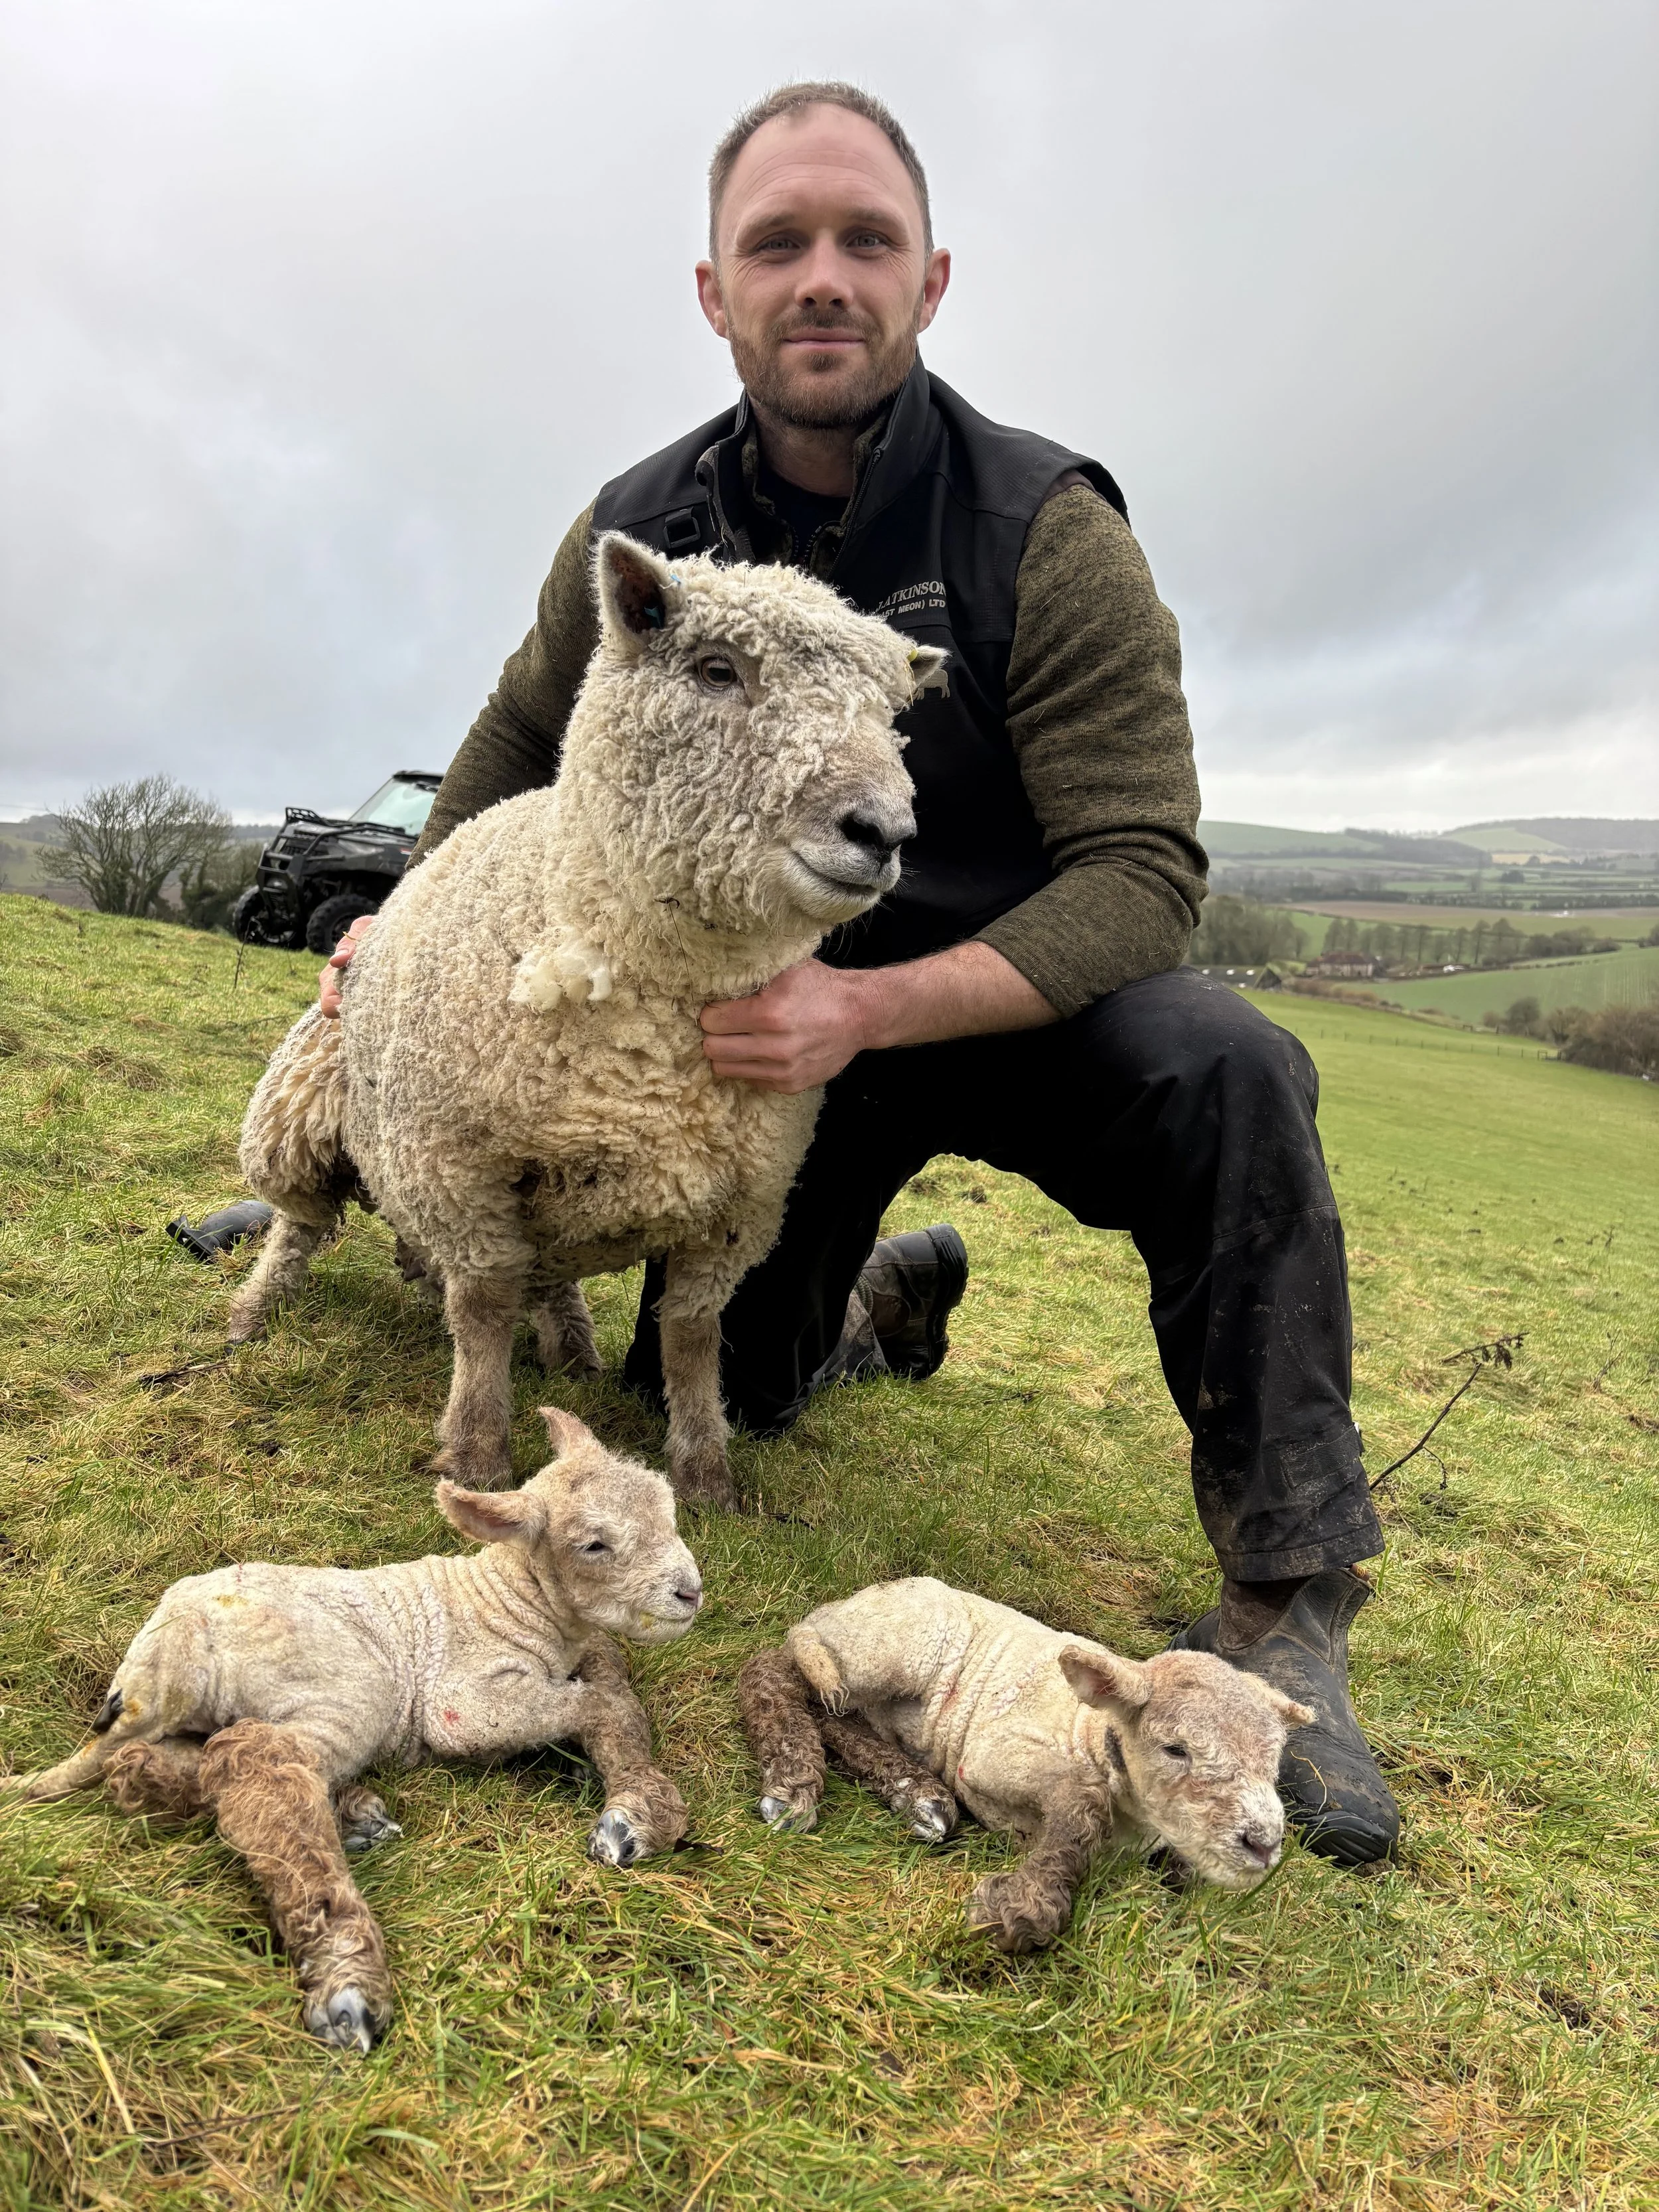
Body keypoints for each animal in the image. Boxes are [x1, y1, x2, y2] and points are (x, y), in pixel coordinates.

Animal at [1, 1410, 701, 2051]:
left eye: (669, 1512)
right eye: (594, 1545)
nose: (691, 1592)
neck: (514, 1600)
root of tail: (171, 1645)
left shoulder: (580, 1652)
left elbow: (612, 1681)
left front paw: (638, 1801)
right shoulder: (461, 1701)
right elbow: (601, 1705)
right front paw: (631, 1818)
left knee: (151, 1766)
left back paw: (342, 1812)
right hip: (344, 1684)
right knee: (259, 1766)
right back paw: (346, 1972)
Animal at [227, 534, 940, 1510]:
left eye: (892, 714)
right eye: (717, 670)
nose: (883, 831)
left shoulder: (739, 1207)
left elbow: (692, 1336)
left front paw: (707, 1474)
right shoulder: (458, 1164)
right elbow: (482, 1307)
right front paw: (478, 1454)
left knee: (544, 1273)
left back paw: (569, 1349)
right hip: (302, 1124)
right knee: (301, 1225)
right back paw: (254, 1313)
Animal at [737, 1577, 1313, 1953]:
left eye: (1274, 1762)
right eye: (1176, 1748)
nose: (1263, 1845)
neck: (1091, 1731)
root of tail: (830, 1610)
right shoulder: (994, 1754)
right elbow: (1081, 1798)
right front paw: (1019, 1908)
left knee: (836, 1715)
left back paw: (916, 1792)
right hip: (893, 1648)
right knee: (773, 1671)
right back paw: (793, 1782)